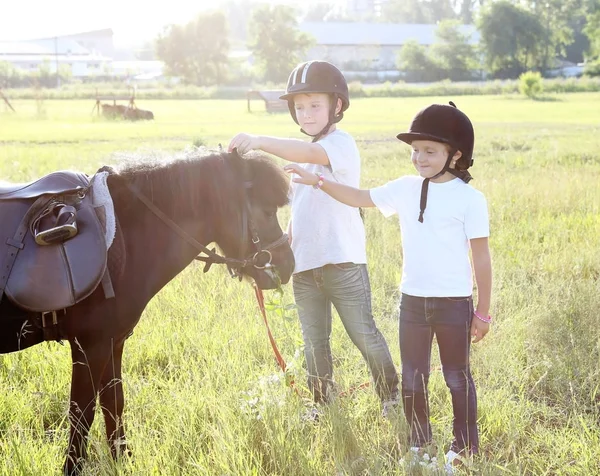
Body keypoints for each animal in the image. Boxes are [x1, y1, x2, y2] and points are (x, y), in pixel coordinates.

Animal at [0, 148, 296, 472]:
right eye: (267, 211)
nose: (287, 264)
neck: (124, 237)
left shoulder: (113, 342)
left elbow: (113, 403)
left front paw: (122, 460)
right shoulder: (90, 345)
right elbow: (82, 413)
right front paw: (74, 467)